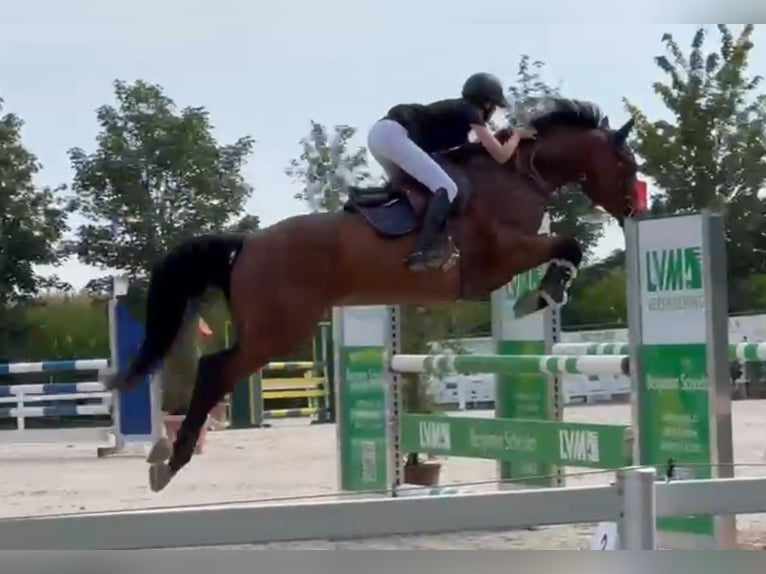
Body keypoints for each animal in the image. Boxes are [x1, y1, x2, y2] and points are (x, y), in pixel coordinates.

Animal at [105, 97, 640, 492]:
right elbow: (567, 244)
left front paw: (544, 292)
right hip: (279, 332)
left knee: (215, 369)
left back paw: (167, 456)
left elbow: (567, 246)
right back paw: (170, 460)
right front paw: (544, 294)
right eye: (624, 160)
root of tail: (247, 243)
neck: (517, 174)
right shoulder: (503, 256)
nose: (634, 208)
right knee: (215, 369)